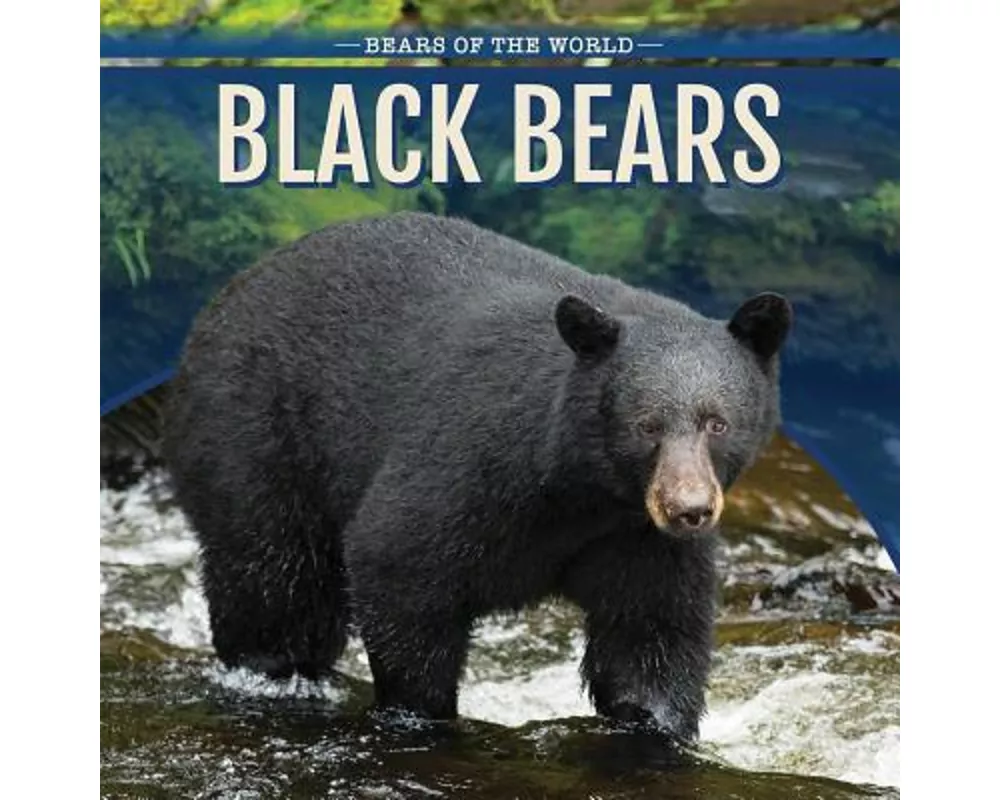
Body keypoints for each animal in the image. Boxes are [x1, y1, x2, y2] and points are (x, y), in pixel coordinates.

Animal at [163, 211, 792, 742]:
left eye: (716, 422)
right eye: (647, 425)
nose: (689, 509)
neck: (581, 489)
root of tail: (226, 296)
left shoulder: (636, 537)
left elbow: (649, 633)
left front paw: (656, 725)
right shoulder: (471, 462)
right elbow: (398, 560)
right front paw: (422, 712)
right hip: (256, 435)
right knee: (275, 578)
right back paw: (274, 669)